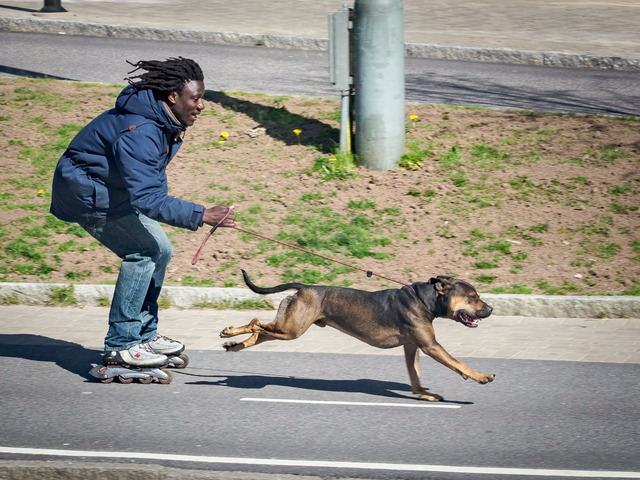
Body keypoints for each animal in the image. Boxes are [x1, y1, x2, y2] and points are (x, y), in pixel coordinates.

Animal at [220, 270, 496, 402]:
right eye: (473, 297)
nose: (491, 309)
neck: (424, 299)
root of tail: (304, 288)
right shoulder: (430, 345)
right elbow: (458, 363)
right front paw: (482, 376)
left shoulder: (412, 346)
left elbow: (415, 374)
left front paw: (423, 394)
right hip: (291, 330)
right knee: (256, 324)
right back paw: (229, 332)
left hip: (287, 328)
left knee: (259, 331)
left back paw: (233, 344)